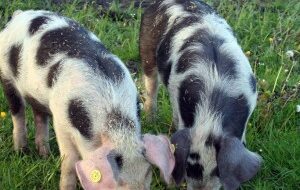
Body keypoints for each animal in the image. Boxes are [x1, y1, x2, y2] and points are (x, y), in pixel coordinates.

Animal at [0, 10, 175, 190]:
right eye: (116, 181)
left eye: (147, 172)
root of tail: (20, 15)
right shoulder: (61, 121)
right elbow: (69, 161)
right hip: (6, 74)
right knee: (17, 112)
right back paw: (21, 151)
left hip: (37, 96)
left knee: (39, 115)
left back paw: (45, 155)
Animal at [139, 0, 262, 189]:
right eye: (190, 167)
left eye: (217, 170)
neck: (211, 113)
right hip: (146, 51)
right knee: (151, 87)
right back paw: (150, 119)